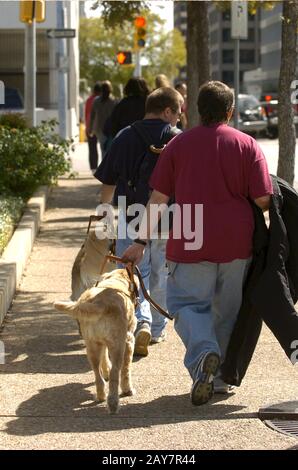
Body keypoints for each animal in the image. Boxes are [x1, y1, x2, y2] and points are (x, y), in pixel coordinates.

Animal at [54, 268, 138, 414]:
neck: (117, 281)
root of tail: (98, 303)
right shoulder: (128, 341)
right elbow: (126, 370)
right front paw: (128, 390)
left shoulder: (102, 342)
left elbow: (104, 359)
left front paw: (106, 371)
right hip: (117, 347)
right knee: (115, 374)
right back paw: (113, 404)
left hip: (91, 345)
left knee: (97, 375)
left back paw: (100, 396)